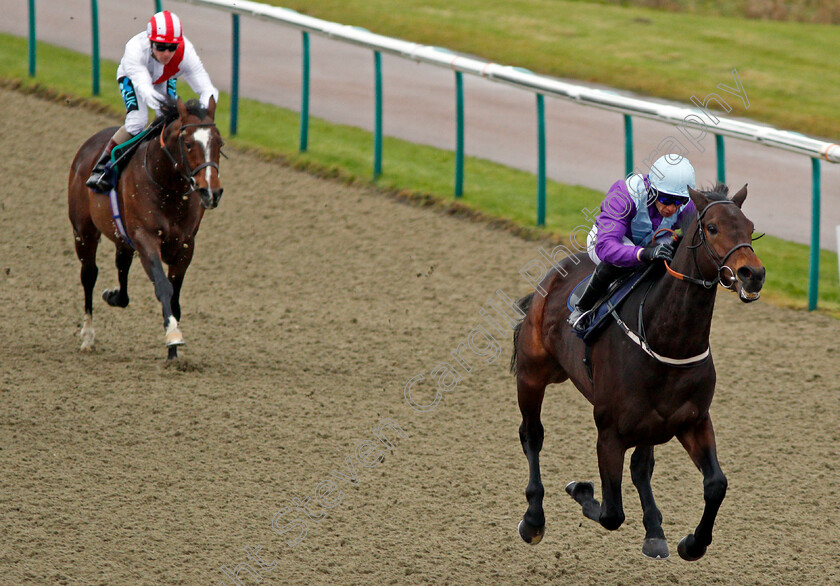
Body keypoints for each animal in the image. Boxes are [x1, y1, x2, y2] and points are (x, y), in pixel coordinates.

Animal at [67, 98, 223, 358]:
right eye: (189, 144)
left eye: (219, 143)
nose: (212, 192)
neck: (168, 186)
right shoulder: (145, 237)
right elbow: (163, 287)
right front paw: (173, 336)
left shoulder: (185, 246)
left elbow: (175, 299)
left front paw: (173, 355)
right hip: (83, 232)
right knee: (89, 274)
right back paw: (87, 336)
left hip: (122, 238)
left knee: (121, 268)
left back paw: (114, 296)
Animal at [512, 185, 768, 560]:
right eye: (713, 228)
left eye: (750, 227)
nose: (753, 273)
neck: (669, 340)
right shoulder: (609, 431)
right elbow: (611, 513)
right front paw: (581, 489)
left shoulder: (692, 421)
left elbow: (716, 484)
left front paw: (692, 543)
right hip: (532, 374)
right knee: (532, 435)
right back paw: (533, 519)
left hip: (650, 422)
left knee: (641, 467)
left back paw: (654, 532)